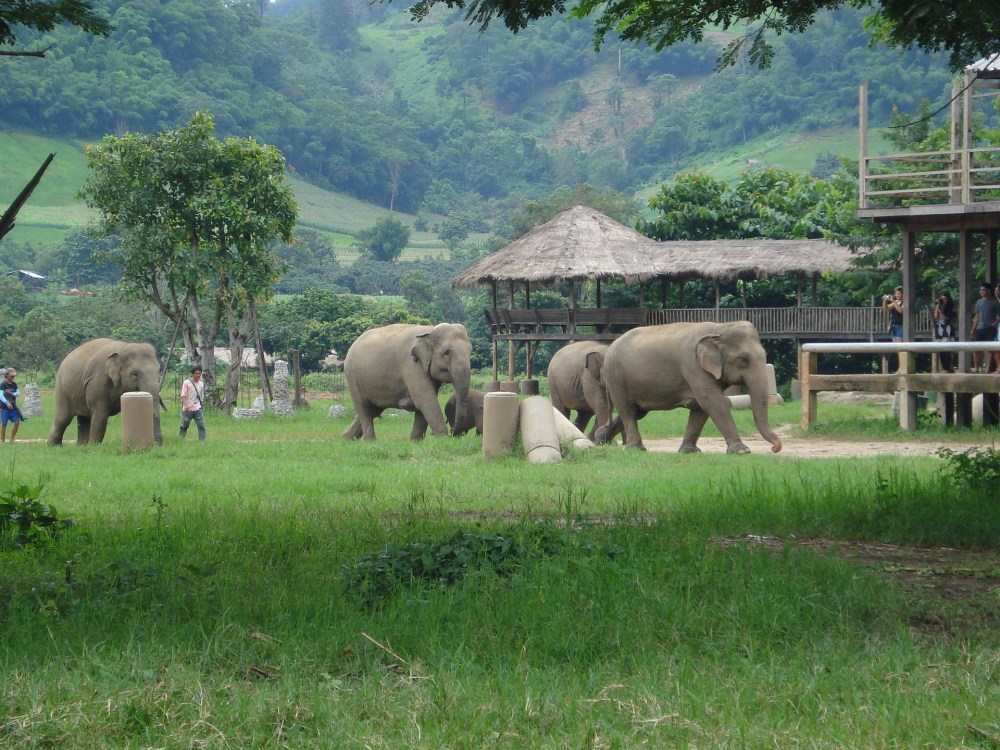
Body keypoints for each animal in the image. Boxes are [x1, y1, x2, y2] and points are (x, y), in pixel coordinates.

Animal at [341, 323, 473, 441]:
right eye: (447, 353)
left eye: (470, 352)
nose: (454, 433)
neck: (430, 330)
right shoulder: (412, 365)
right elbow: (424, 399)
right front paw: (441, 438)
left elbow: (426, 402)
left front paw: (415, 441)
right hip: (353, 377)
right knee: (363, 407)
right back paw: (369, 441)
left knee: (373, 410)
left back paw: (344, 439)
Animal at [596, 321, 783, 454]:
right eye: (744, 359)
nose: (775, 448)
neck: (719, 328)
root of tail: (610, 347)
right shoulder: (692, 365)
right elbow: (711, 401)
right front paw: (742, 451)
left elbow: (700, 407)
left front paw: (689, 451)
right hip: (616, 378)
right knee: (627, 410)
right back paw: (636, 449)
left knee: (637, 412)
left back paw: (600, 438)